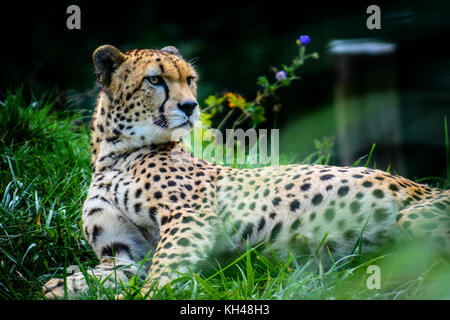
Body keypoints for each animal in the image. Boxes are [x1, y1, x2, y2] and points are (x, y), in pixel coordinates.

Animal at [41, 43, 446, 298]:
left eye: (190, 80)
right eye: (155, 80)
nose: (190, 106)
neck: (114, 154)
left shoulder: (190, 218)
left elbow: (160, 275)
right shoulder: (125, 252)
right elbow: (99, 275)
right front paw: (61, 286)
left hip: (414, 215)